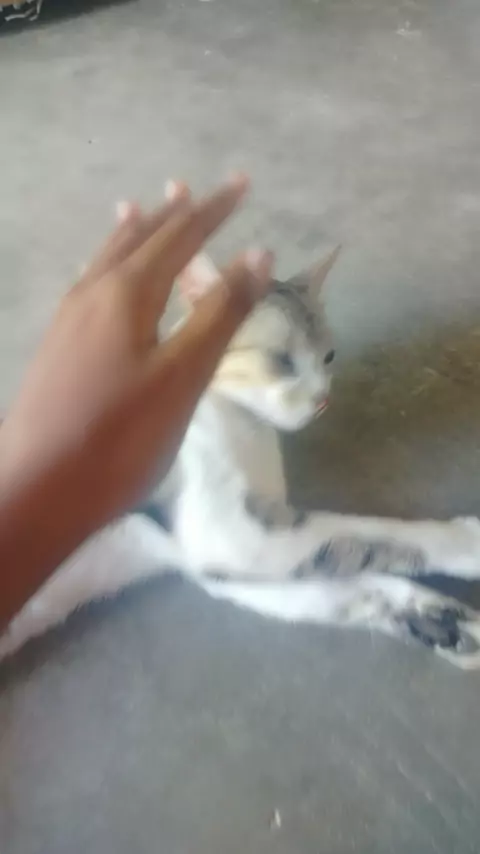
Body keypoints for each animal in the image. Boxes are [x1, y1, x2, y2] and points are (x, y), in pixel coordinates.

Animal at [3, 248, 480, 668]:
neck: (248, 428)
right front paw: (465, 543)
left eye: (329, 357)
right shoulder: (230, 534)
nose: (323, 401)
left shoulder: (219, 564)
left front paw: (443, 624)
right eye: (281, 361)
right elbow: (369, 532)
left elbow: (347, 577)